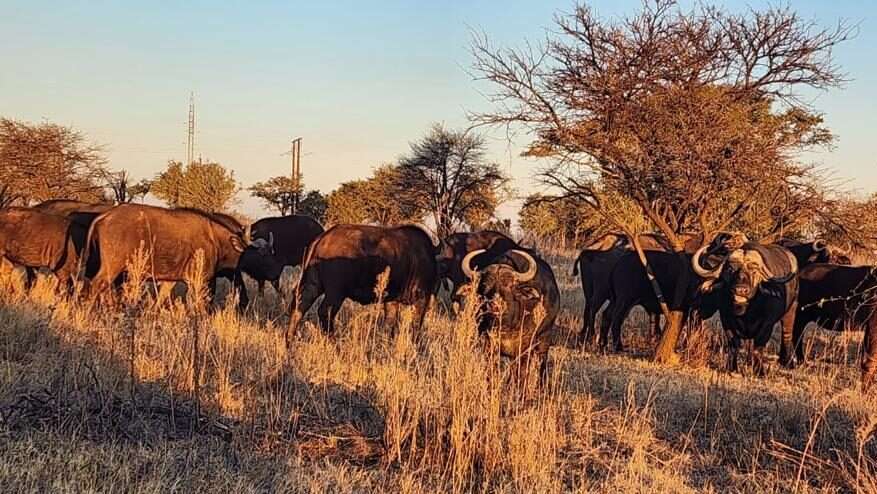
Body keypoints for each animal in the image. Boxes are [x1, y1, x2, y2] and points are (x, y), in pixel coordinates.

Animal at [288, 224, 438, 340]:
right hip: (336, 293)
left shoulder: (391, 300)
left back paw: (289, 340)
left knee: (299, 307)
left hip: (311, 284)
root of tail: (322, 238)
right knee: (325, 312)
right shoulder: (422, 299)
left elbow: (390, 324)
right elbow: (416, 326)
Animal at [462, 247, 556, 382]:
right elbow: (491, 371)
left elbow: (522, 374)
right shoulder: (488, 345)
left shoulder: (524, 349)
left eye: (509, 285)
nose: (495, 305)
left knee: (542, 363)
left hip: (545, 338)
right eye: (484, 285)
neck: (507, 326)